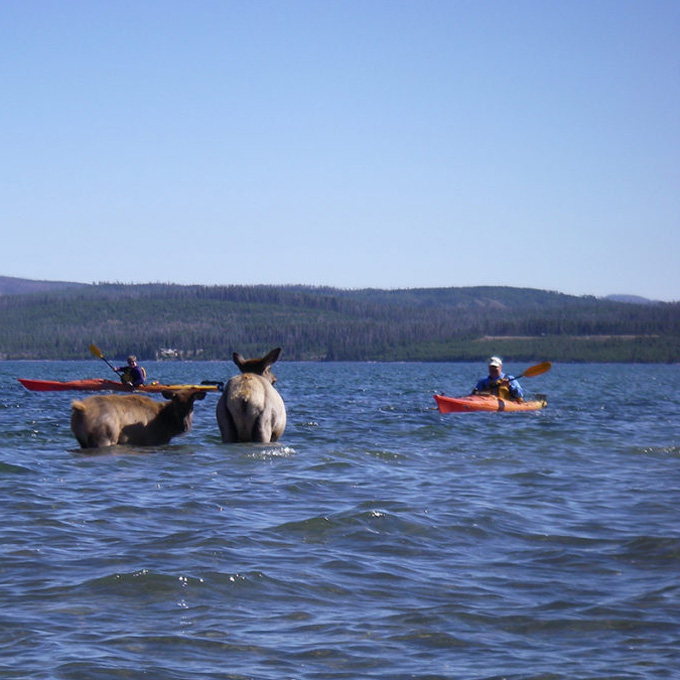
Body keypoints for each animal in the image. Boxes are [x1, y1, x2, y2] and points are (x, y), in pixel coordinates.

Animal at [69, 390, 207, 448]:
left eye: (191, 407)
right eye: (176, 404)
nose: (185, 426)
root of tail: (81, 408)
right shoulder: (154, 440)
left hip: (82, 440)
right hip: (105, 437)